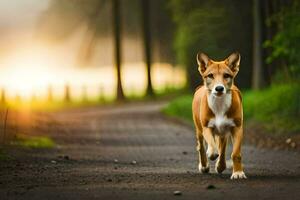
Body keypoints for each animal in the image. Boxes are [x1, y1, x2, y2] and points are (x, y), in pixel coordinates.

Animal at [192, 51, 246, 180]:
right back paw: (204, 166)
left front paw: (238, 172)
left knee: (222, 147)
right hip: (199, 128)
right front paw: (212, 154)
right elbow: (212, 146)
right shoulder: (207, 126)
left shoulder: (237, 127)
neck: (219, 104)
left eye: (226, 75)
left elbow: (235, 153)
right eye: (210, 75)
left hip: (223, 132)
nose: (219, 88)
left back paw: (221, 165)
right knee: (201, 146)